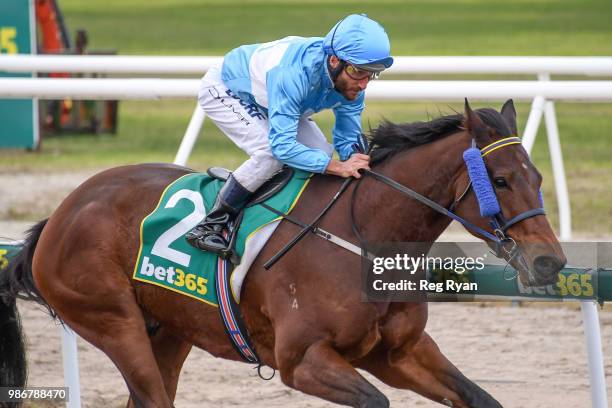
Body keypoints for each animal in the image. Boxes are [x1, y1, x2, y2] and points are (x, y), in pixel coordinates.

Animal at [0, 99, 568, 408]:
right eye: (499, 180)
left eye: (538, 177)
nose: (551, 262)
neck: (363, 233)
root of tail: (58, 216)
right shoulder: (303, 360)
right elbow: (375, 398)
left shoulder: (399, 352)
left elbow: (478, 395)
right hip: (112, 321)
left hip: (169, 331)